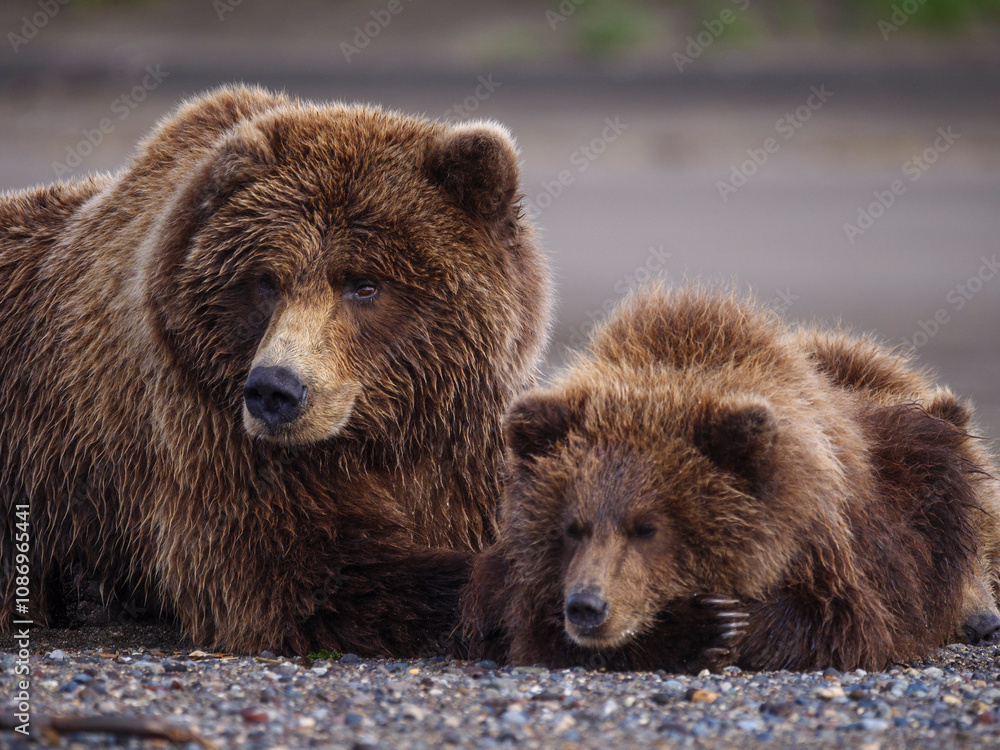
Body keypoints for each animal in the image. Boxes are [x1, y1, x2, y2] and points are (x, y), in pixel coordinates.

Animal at [0, 85, 552, 656]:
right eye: (265, 281)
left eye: (365, 284)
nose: (275, 390)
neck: (376, 439)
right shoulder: (208, 431)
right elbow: (301, 576)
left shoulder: (462, 439)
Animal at [462, 285, 1000, 672]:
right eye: (571, 527)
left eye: (648, 528)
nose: (587, 606)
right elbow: (531, 629)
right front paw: (693, 629)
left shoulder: (838, 557)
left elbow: (840, 628)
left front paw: (726, 622)